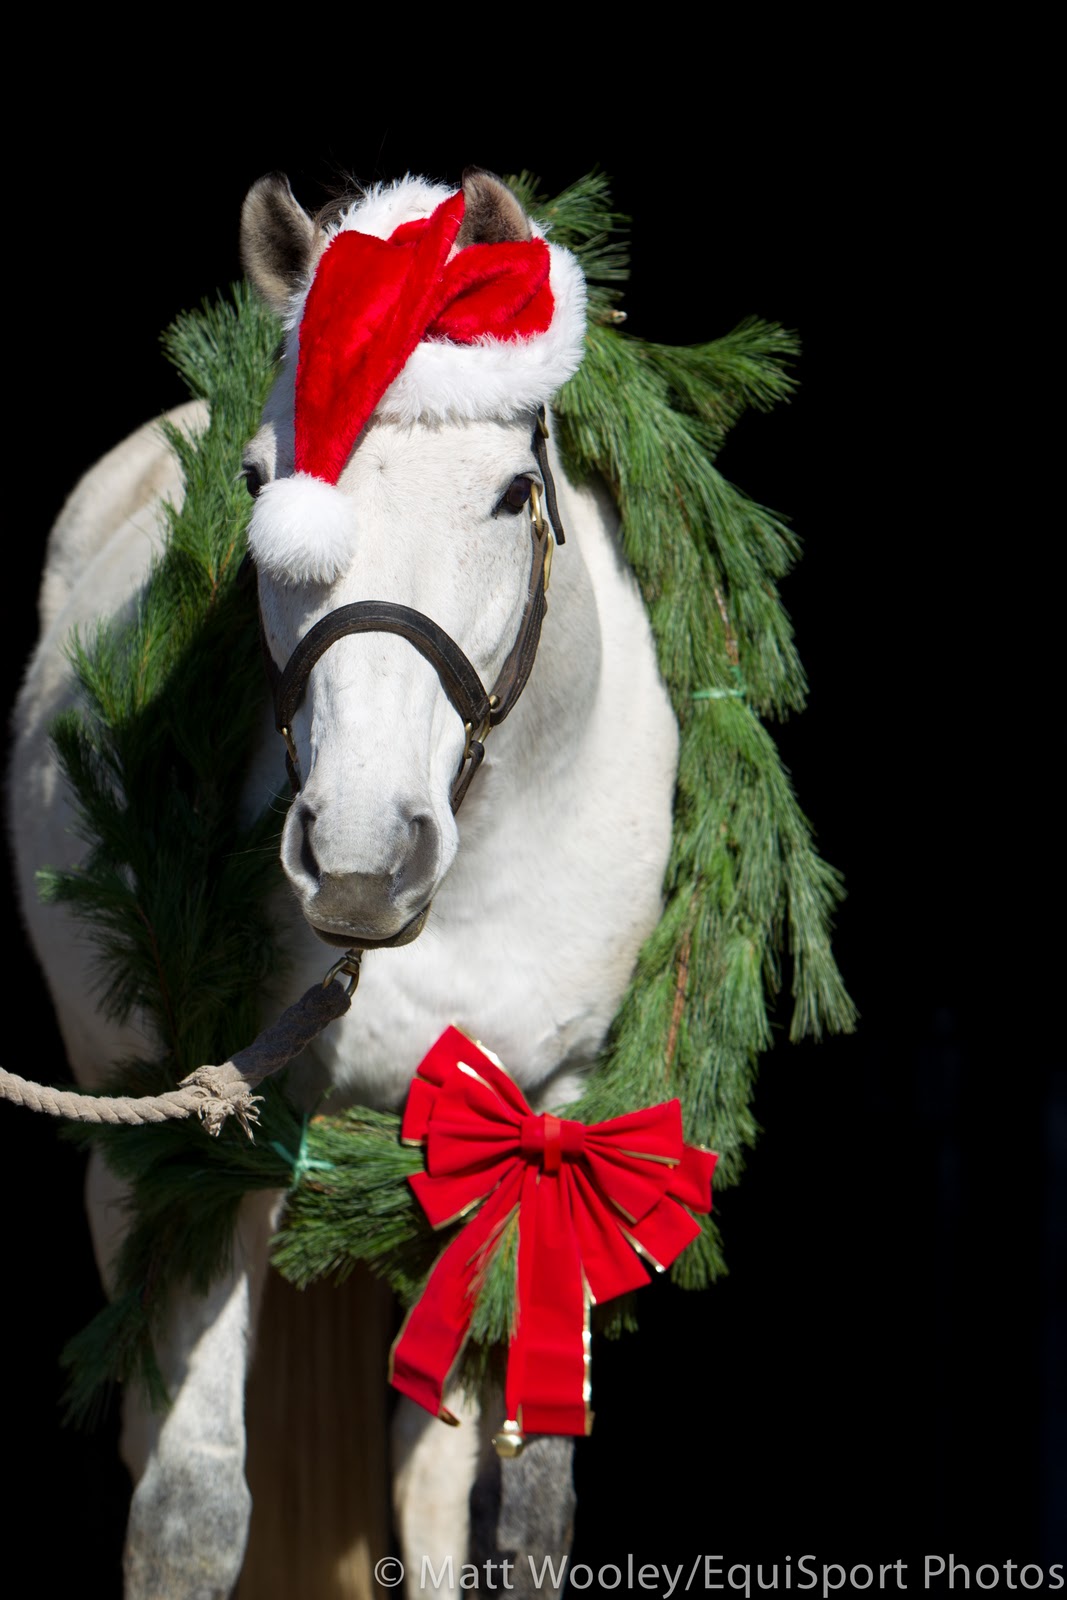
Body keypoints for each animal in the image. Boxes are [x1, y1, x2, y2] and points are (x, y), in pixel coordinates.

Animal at [7, 166, 679, 1598]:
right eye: (261, 482)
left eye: (509, 493)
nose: (364, 856)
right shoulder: (216, 1144)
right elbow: (190, 1511)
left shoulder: (550, 1121)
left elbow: (520, 1508)